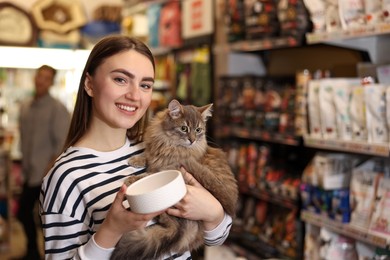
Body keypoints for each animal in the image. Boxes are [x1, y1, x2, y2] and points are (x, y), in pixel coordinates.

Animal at [109, 99, 238, 260]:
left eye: (198, 130)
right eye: (184, 128)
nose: (192, 140)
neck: (170, 146)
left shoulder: (170, 167)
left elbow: (148, 175)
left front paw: (132, 179)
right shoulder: (156, 154)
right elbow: (148, 155)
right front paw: (136, 159)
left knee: (173, 225)